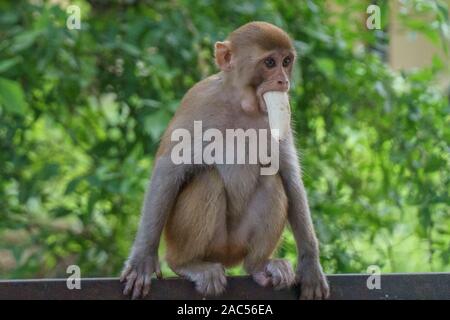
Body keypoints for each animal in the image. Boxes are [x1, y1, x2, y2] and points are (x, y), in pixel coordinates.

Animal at [121, 21, 328, 300]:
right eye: (270, 62)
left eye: (287, 61)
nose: (283, 81)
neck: (241, 103)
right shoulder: (198, 101)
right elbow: (168, 171)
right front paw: (142, 259)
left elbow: (288, 175)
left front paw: (310, 264)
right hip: (186, 239)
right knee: (208, 179)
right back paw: (188, 264)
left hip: (237, 245)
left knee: (271, 181)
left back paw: (259, 266)